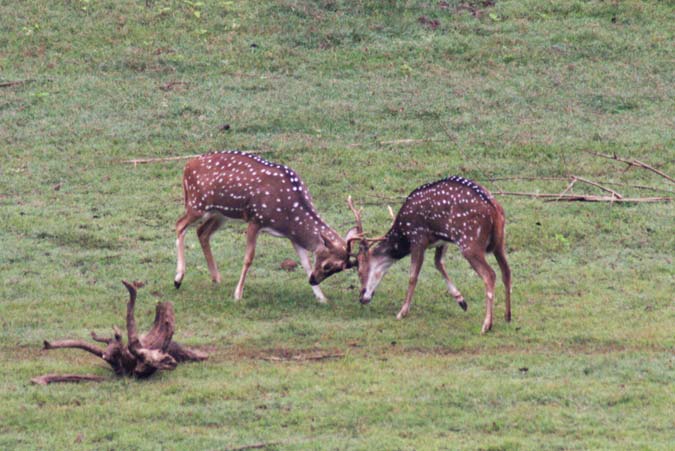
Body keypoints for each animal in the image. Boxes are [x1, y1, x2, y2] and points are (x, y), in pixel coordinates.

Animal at [177, 152, 362, 304]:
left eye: (339, 269)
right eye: (328, 265)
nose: (313, 280)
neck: (289, 213)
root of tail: (187, 166)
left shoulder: (292, 235)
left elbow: (306, 262)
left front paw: (322, 298)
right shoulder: (256, 220)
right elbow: (248, 258)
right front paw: (238, 295)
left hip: (220, 214)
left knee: (201, 232)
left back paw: (216, 279)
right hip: (197, 204)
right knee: (179, 225)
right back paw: (178, 278)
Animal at [348, 177, 512, 336]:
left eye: (360, 270)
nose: (362, 298)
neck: (403, 234)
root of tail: (494, 209)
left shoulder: (418, 237)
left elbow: (413, 276)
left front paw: (402, 312)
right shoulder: (442, 240)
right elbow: (438, 263)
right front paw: (462, 301)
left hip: (469, 243)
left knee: (490, 274)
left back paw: (486, 325)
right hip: (499, 241)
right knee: (506, 271)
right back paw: (507, 316)